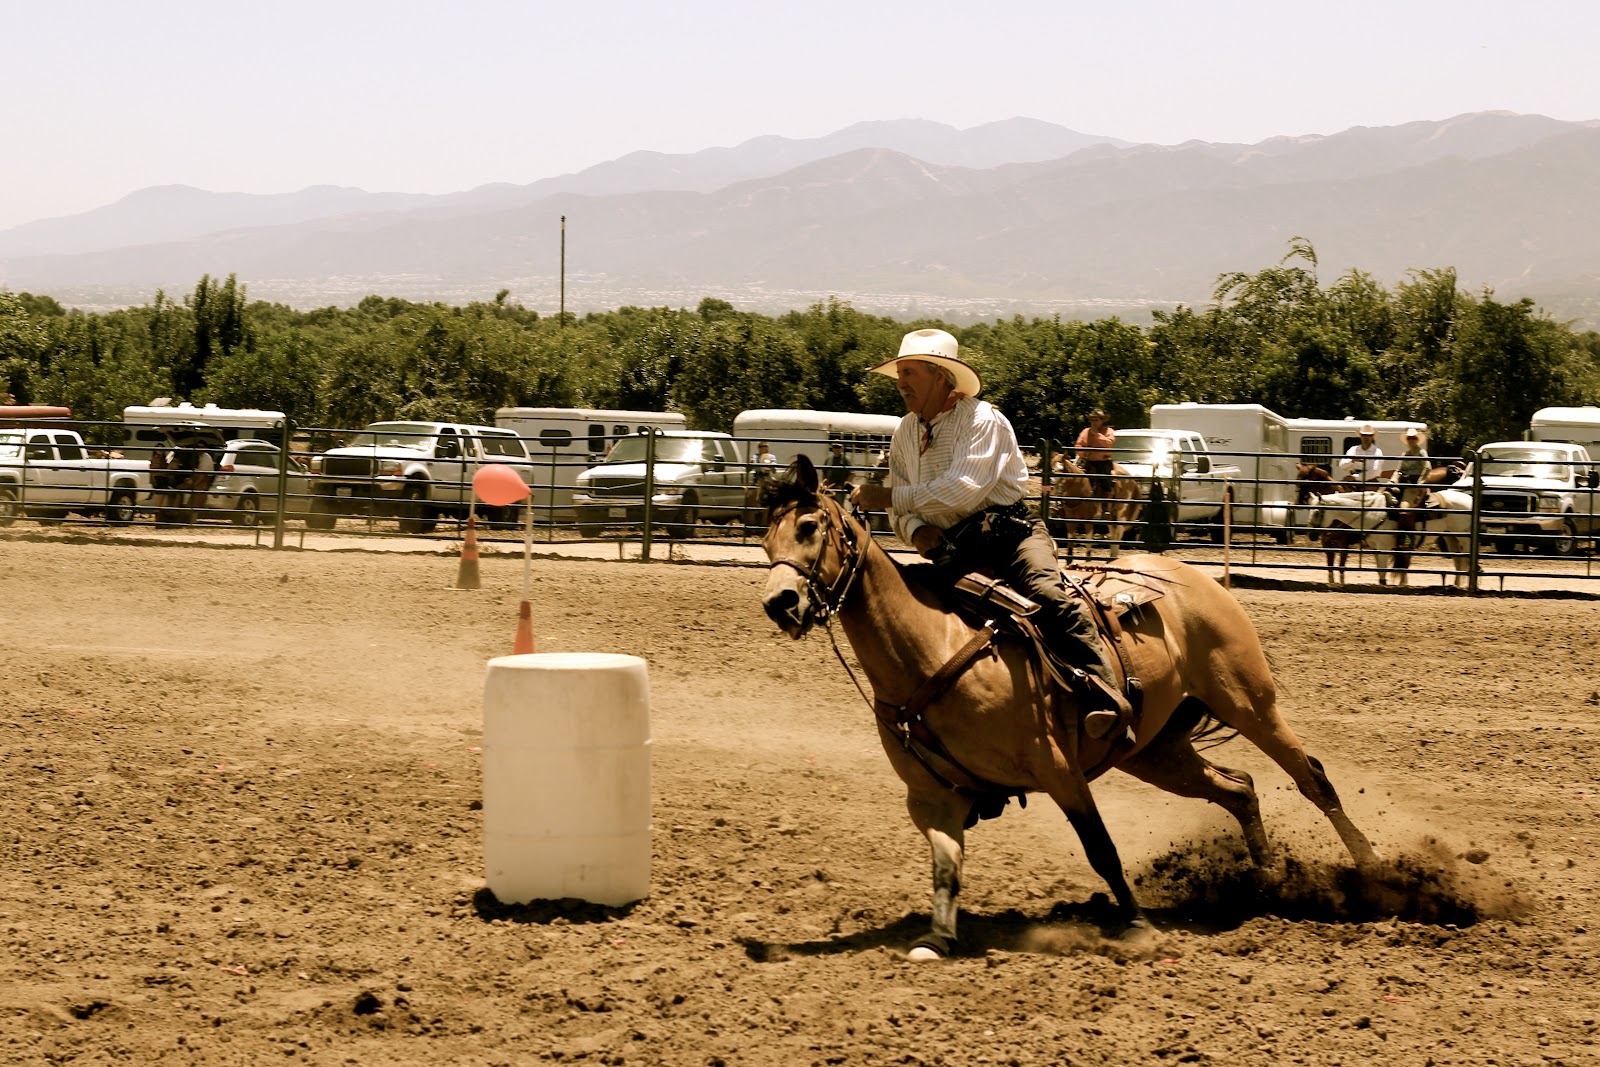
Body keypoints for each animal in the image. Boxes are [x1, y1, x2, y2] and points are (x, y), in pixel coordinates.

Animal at [759, 456, 1379, 959]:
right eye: (765, 544)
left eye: (809, 527)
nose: (780, 602)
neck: (929, 648)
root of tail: (1192, 577)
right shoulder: (931, 796)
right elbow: (946, 865)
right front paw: (937, 938)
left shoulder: (1057, 768)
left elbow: (1100, 848)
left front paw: (1137, 928)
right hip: (1155, 751)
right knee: (1239, 788)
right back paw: (1266, 881)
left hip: (1250, 701)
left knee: (1312, 778)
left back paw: (1373, 877)